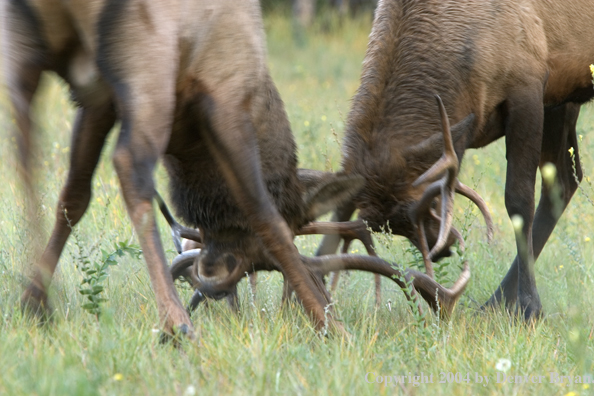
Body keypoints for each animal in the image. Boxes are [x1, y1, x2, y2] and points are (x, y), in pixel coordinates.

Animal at [3, 0, 468, 338]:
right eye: (295, 220)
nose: (214, 276)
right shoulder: (225, 89)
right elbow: (263, 212)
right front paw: (331, 325)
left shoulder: (99, 96)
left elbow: (74, 195)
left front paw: (33, 299)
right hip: (147, 58)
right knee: (129, 164)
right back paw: (177, 324)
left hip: (33, 41)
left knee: (25, 144)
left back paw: (39, 302)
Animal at [316, 0, 588, 322]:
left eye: (434, 202)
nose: (441, 249)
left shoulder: (529, 86)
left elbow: (518, 200)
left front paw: (530, 307)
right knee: (565, 181)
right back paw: (494, 301)